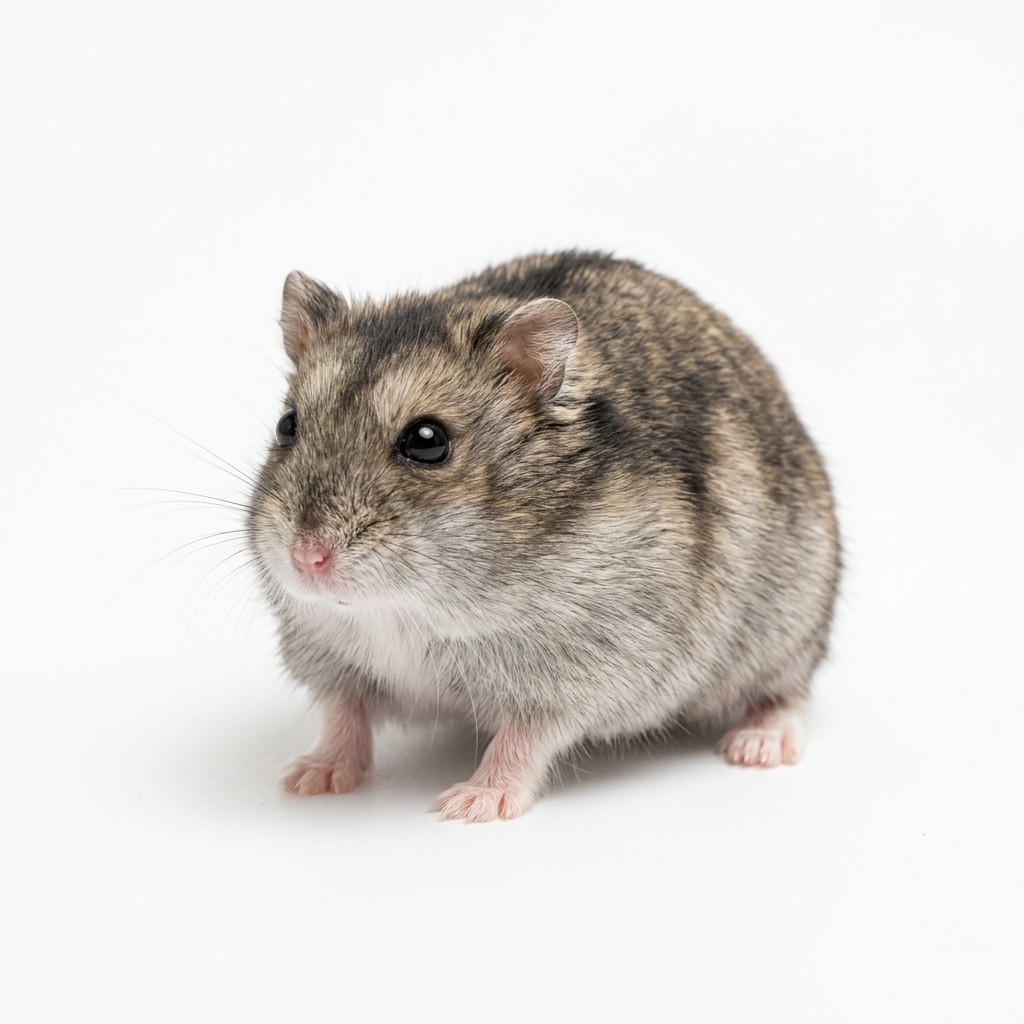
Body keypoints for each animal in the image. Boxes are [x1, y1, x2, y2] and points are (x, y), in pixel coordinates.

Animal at [248, 252, 840, 822]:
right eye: (286, 425)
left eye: (427, 441)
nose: (307, 560)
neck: (405, 609)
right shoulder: (326, 652)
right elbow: (343, 714)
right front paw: (309, 779)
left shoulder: (581, 672)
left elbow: (522, 739)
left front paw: (471, 805)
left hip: (789, 623)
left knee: (785, 692)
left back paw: (757, 746)